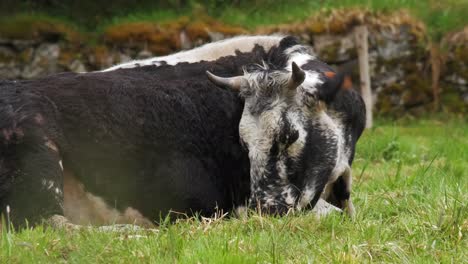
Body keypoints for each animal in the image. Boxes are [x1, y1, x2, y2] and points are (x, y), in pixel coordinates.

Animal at [0, 35, 366, 227]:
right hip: (40, 160)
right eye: (244, 144)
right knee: (52, 226)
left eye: (289, 136)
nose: (267, 212)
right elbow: (335, 216)